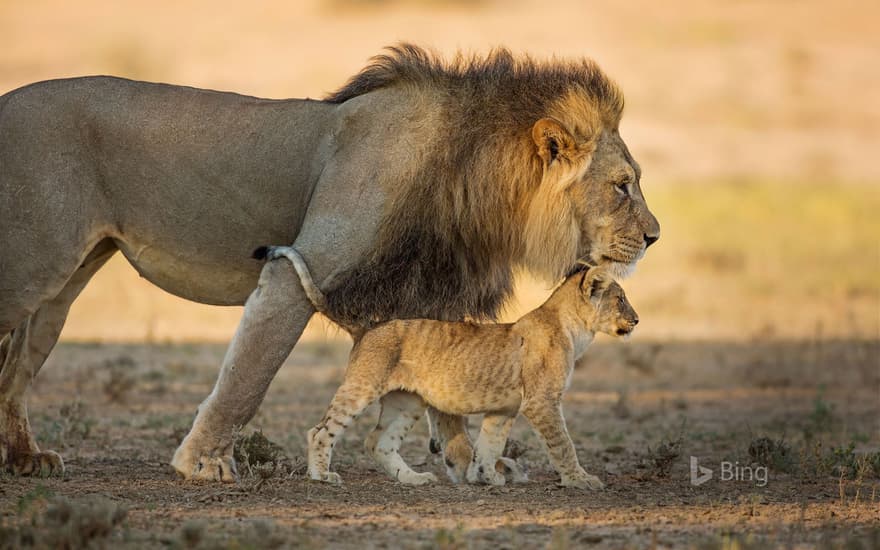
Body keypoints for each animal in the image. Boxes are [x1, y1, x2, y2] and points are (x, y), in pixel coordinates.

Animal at [0, 44, 660, 484]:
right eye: (622, 186)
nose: (655, 236)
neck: (475, 181)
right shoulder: (297, 271)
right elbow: (248, 377)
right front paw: (201, 463)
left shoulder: (419, 296)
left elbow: (447, 391)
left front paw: (469, 465)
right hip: (30, 266)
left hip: (59, 291)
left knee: (14, 370)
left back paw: (26, 459)